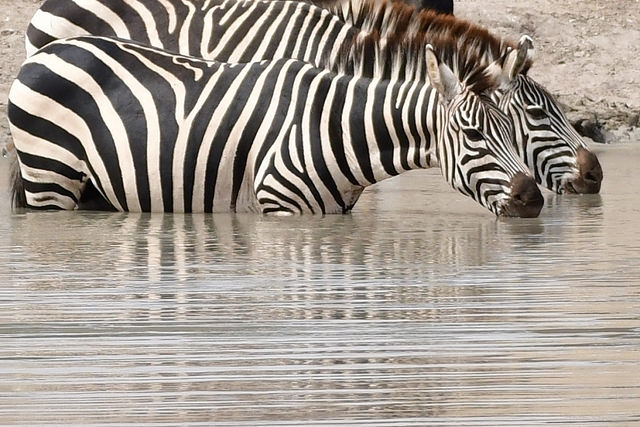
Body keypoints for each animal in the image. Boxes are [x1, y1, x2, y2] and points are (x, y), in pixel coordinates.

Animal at [7, 35, 544, 217]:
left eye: (513, 131)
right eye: (473, 135)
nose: (533, 200)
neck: (337, 127)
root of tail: (50, 49)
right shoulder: (280, 208)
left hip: (94, 187)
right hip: (49, 178)